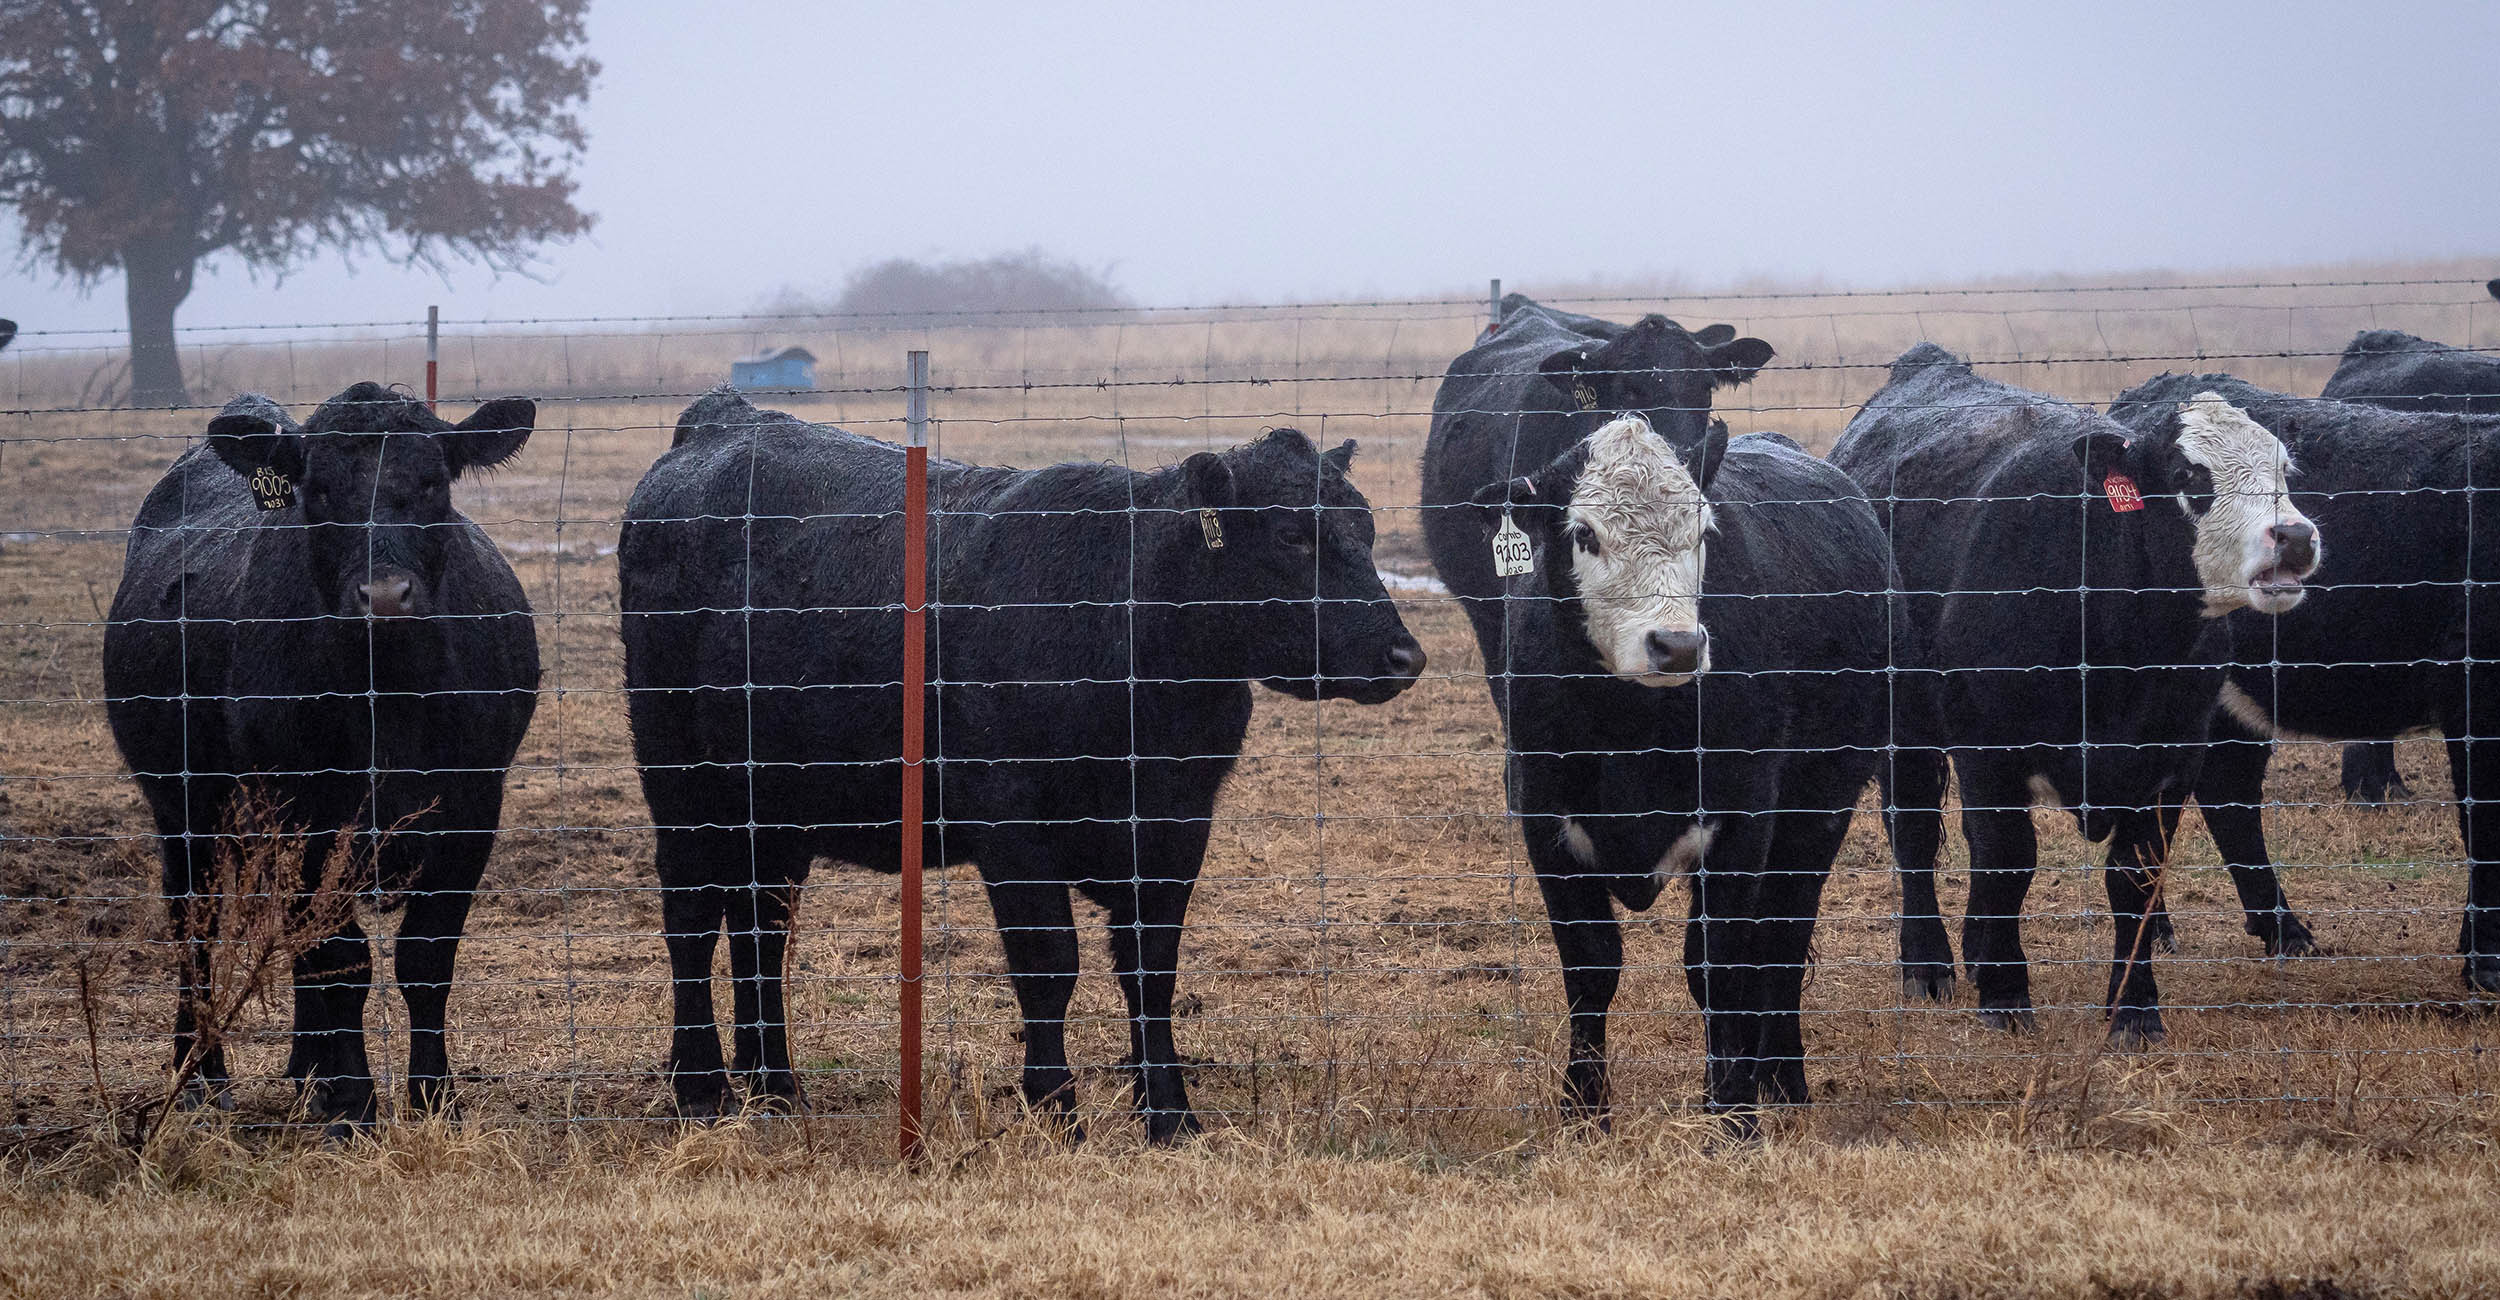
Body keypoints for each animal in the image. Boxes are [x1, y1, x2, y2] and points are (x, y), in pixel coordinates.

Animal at [103, 383, 542, 1129]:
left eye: (432, 483)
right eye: (322, 492)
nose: (385, 596)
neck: (386, 696)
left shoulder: (473, 807)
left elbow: (425, 959)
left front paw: (433, 1095)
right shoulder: (307, 811)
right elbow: (342, 960)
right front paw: (355, 1105)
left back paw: (308, 1065)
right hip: (182, 802)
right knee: (195, 921)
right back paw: (201, 1073)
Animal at [619, 391, 1424, 1140]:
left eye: (1366, 529)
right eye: (1290, 534)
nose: (1404, 656)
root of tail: (727, 418)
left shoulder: (1176, 825)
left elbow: (1151, 968)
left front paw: (1170, 1116)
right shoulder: (1012, 826)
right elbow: (1049, 963)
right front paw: (1057, 1109)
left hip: (776, 807)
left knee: (761, 922)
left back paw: (776, 1088)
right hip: (680, 780)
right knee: (692, 915)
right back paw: (701, 1088)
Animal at [1432, 412, 1887, 1125]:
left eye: (1703, 532)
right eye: (1583, 533)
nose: (1676, 645)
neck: (1631, 730)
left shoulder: (1742, 821)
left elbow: (1718, 967)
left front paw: (1731, 1115)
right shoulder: (1544, 818)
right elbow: (1591, 966)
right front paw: (1584, 1110)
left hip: (1821, 812)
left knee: (1781, 942)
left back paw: (1783, 1083)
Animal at [1829, 345, 2318, 1047]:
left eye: (2284, 469)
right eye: (2187, 474)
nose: (2297, 538)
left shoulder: (2170, 759)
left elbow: (2135, 876)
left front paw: (2135, 1009)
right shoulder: (1988, 750)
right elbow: (2008, 859)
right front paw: (2006, 996)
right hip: (1906, 727)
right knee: (1915, 834)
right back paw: (1929, 964)